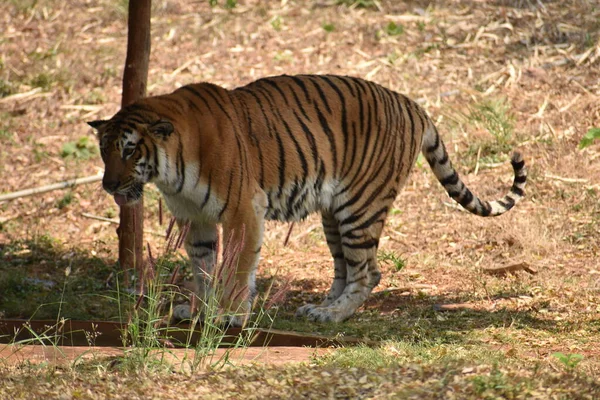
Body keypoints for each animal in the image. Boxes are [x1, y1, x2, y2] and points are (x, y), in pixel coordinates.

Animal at [86, 73, 528, 326]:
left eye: (129, 150)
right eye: (104, 150)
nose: (108, 185)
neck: (171, 170)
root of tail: (411, 103)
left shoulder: (244, 210)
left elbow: (236, 267)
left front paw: (229, 314)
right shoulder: (196, 219)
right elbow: (203, 269)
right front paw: (199, 310)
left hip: (360, 207)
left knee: (368, 271)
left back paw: (333, 315)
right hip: (334, 213)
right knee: (345, 268)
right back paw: (316, 306)